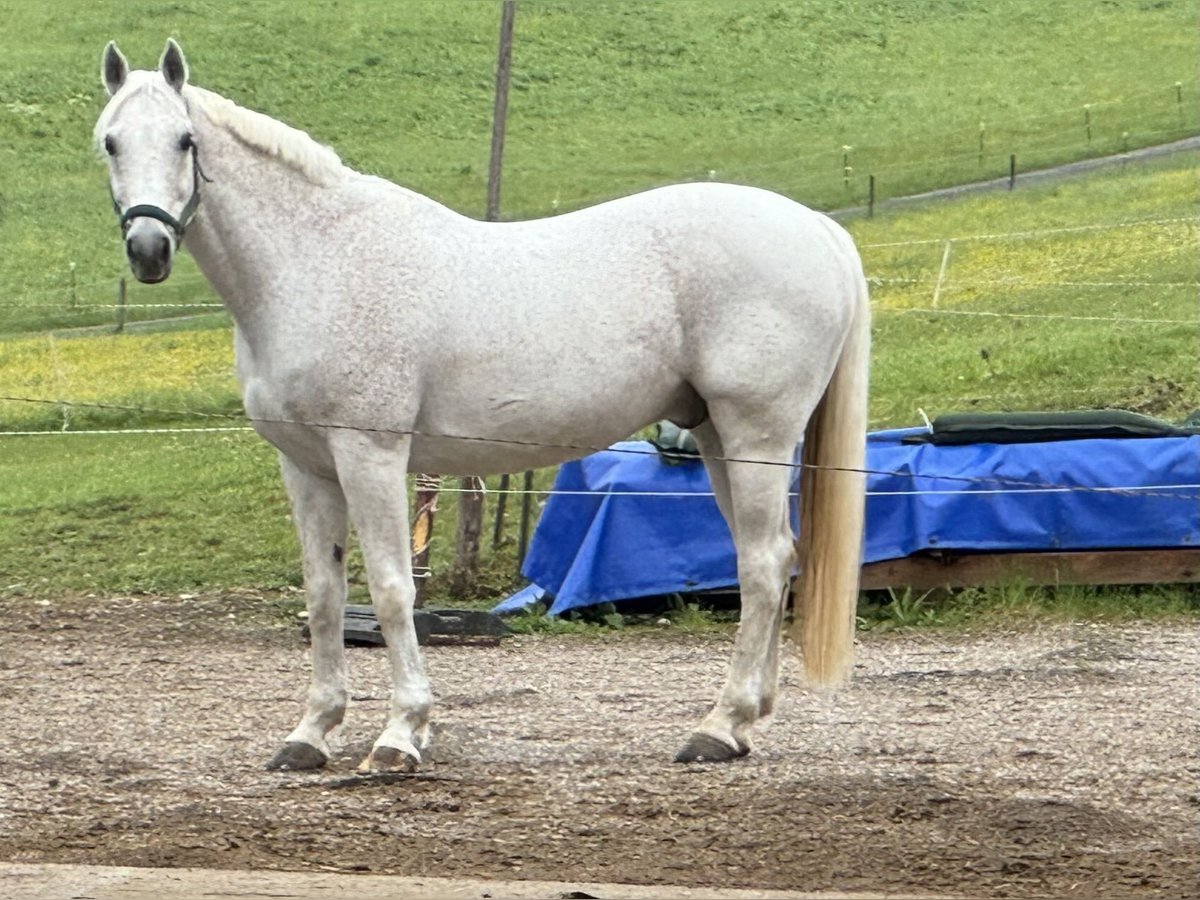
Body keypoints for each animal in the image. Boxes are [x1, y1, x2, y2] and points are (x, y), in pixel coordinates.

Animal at [93, 40, 864, 777]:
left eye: (185, 140)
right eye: (109, 142)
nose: (149, 248)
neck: (320, 260)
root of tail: (820, 230)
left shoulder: (370, 455)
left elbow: (391, 589)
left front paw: (400, 735)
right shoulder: (306, 466)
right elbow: (324, 595)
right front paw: (310, 734)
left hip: (756, 433)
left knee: (762, 563)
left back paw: (718, 727)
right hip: (714, 436)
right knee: (770, 560)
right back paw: (745, 720)